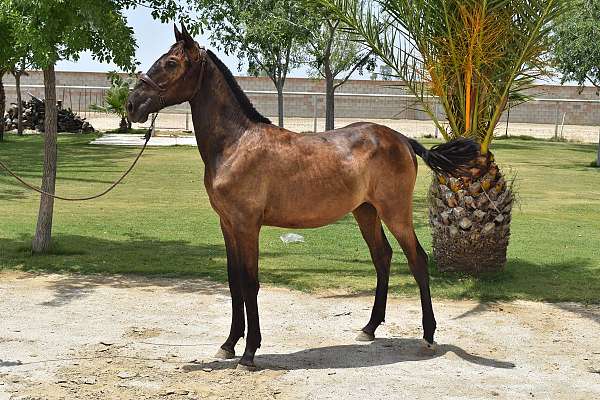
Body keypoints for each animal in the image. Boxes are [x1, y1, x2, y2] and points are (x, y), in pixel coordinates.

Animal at [127, 24, 478, 368]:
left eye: (171, 63)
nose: (132, 105)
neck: (236, 144)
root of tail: (403, 139)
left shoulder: (247, 225)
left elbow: (250, 282)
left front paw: (249, 352)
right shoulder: (227, 224)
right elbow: (233, 282)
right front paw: (228, 345)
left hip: (395, 212)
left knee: (417, 259)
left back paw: (428, 335)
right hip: (365, 211)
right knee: (383, 258)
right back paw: (369, 328)